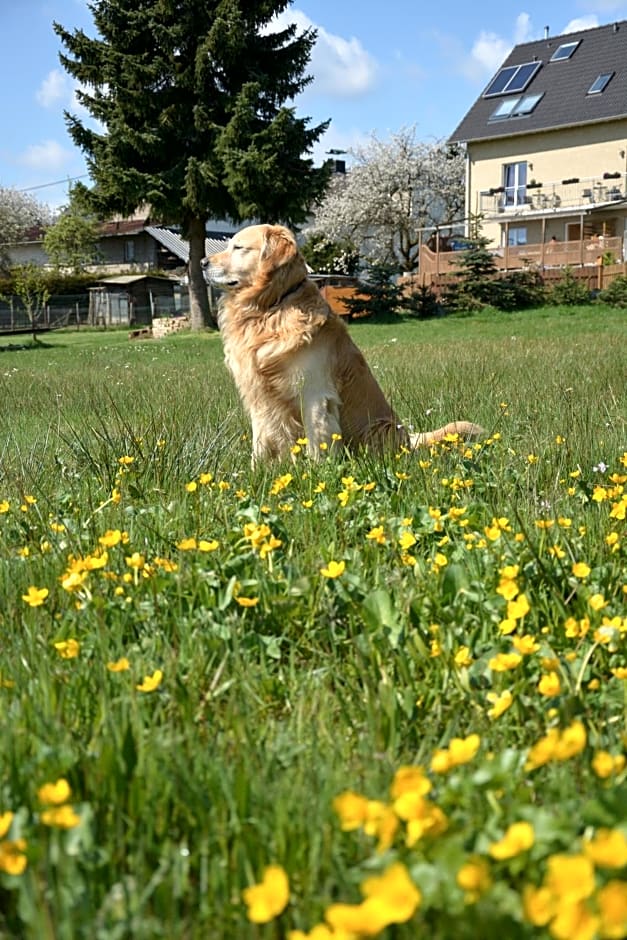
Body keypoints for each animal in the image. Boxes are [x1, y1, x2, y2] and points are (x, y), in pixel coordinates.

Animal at [206, 228, 486, 462]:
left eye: (238, 247)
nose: (201, 263)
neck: (270, 308)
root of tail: (409, 439)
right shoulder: (259, 397)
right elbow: (260, 442)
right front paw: (257, 474)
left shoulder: (314, 393)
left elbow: (317, 443)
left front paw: (316, 475)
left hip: (380, 428)